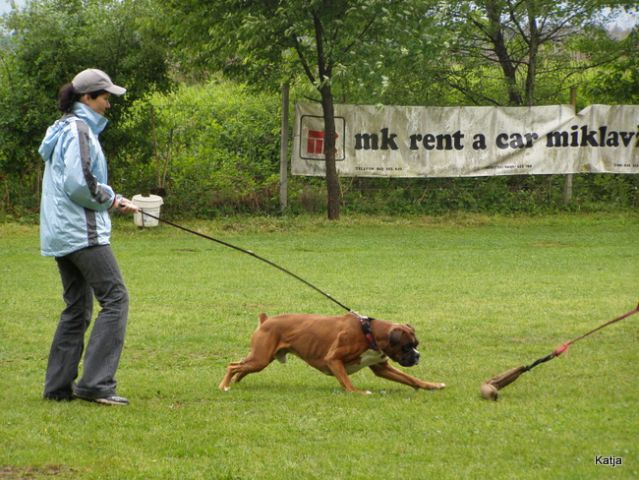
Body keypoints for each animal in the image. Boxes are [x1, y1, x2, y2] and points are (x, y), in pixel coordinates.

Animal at [219, 312, 444, 394]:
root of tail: (266, 320)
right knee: (232, 365)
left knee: (241, 367)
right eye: (406, 346)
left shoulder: (382, 368)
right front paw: (358, 392)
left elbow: (411, 379)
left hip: (260, 360)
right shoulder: (334, 360)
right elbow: (348, 383)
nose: (417, 356)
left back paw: (236, 381)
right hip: (260, 359)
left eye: (416, 344)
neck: (369, 333)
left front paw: (432, 385)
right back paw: (224, 386)